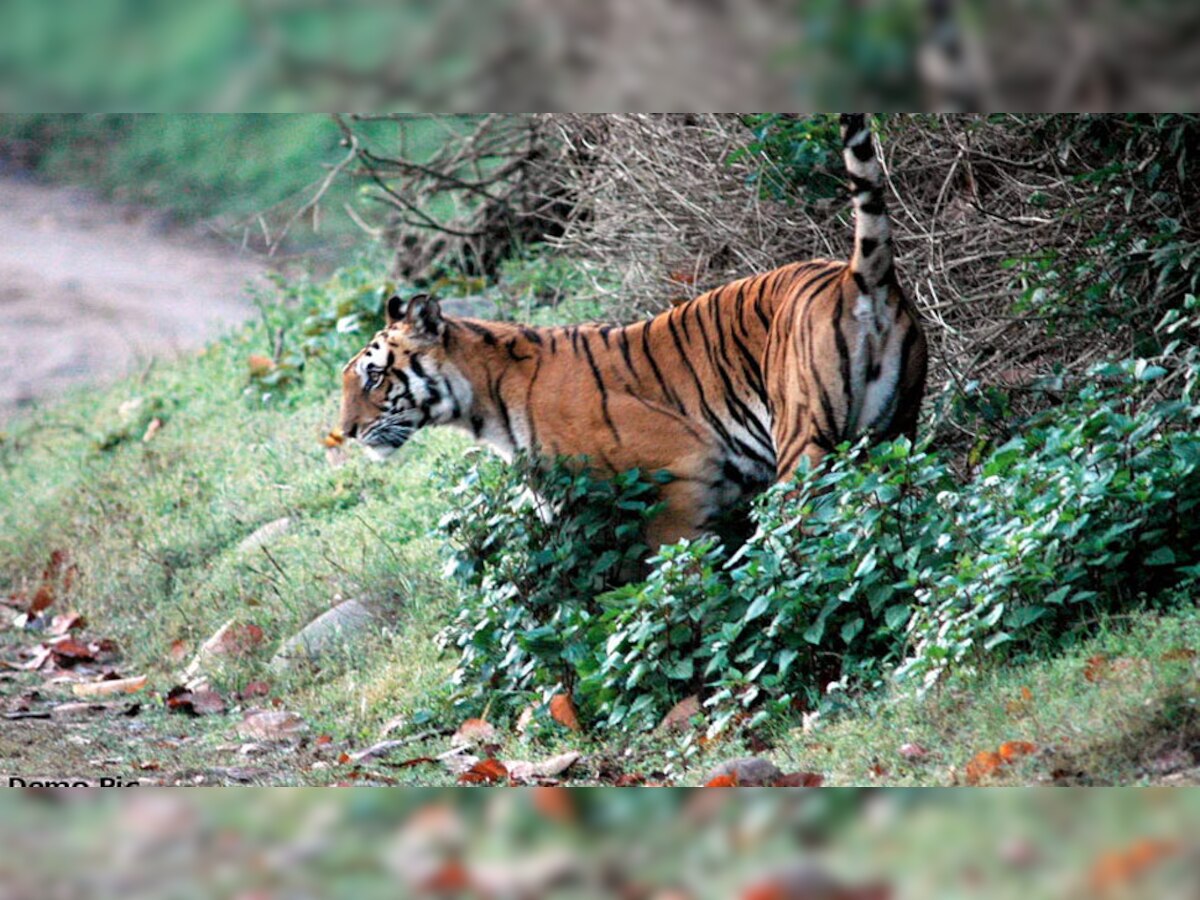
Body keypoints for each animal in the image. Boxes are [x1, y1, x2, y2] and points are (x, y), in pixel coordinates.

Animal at [338, 112, 926, 549]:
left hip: (803, 444)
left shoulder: (680, 466)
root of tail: (858, 275)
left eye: (374, 377)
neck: (485, 407)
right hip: (896, 427)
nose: (346, 433)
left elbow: (671, 564)